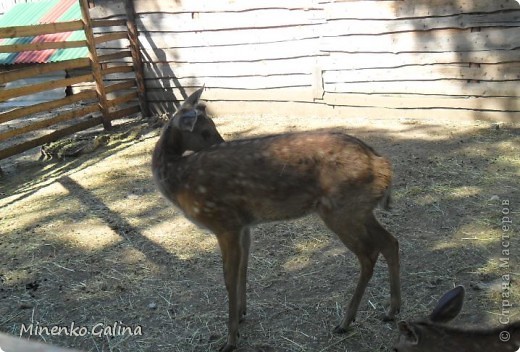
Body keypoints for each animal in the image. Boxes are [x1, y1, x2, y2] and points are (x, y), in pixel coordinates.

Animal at [151, 86, 402, 350]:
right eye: (205, 130)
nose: (220, 143)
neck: (179, 181)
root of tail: (382, 164)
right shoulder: (243, 225)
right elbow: (244, 268)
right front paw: (241, 314)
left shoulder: (224, 222)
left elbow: (229, 277)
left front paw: (230, 340)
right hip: (358, 209)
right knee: (390, 242)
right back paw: (391, 310)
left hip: (340, 210)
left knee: (369, 253)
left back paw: (345, 321)